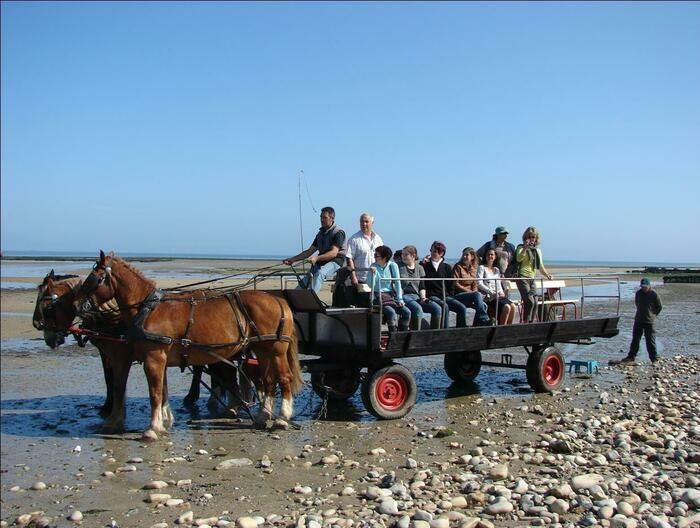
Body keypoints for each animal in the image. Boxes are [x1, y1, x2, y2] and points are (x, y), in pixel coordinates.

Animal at [77, 252, 304, 442]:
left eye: (94, 279)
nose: (79, 306)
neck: (149, 309)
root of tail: (278, 300)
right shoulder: (160, 358)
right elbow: (163, 390)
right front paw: (164, 423)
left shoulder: (153, 357)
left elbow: (155, 393)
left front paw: (152, 429)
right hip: (263, 349)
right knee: (268, 380)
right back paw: (263, 416)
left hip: (276, 349)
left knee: (284, 378)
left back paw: (282, 418)